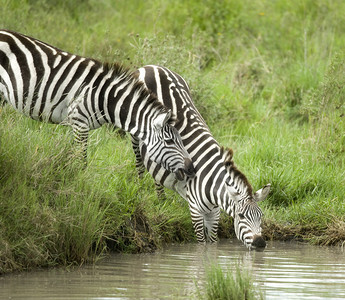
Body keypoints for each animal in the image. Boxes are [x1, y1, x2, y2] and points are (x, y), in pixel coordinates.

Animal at [0, 29, 195, 179]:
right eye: (170, 141)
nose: (192, 169)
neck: (107, 98)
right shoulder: (79, 121)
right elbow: (82, 159)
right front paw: (81, 182)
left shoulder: (75, 124)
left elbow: (70, 154)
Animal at [133, 65, 270, 251]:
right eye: (241, 216)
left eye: (261, 216)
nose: (260, 243)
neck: (212, 185)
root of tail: (152, 66)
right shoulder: (195, 210)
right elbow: (201, 244)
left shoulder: (214, 212)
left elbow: (212, 242)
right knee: (139, 163)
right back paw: (139, 190)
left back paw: (161, 200)